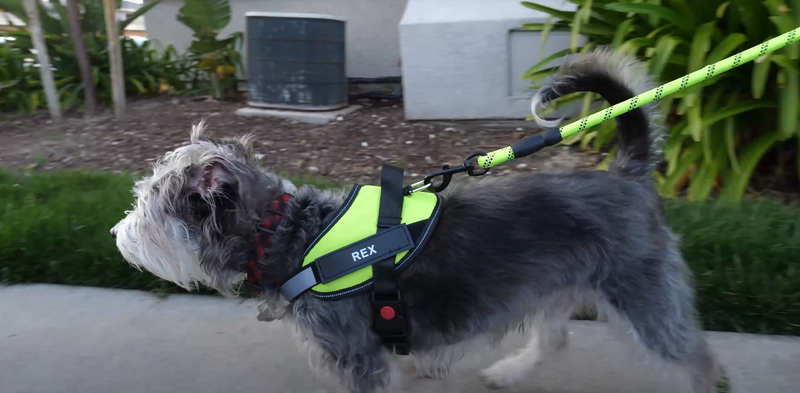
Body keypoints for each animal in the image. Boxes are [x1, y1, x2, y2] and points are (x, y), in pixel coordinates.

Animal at [111, 49, 724, 392]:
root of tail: (626, 171)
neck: (287, 234)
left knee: (698, 362)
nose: (116, 233)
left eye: (146, 208)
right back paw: (510, 372)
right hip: (552, 281)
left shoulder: (355, 356)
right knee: (554, 336)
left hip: (643, 295)